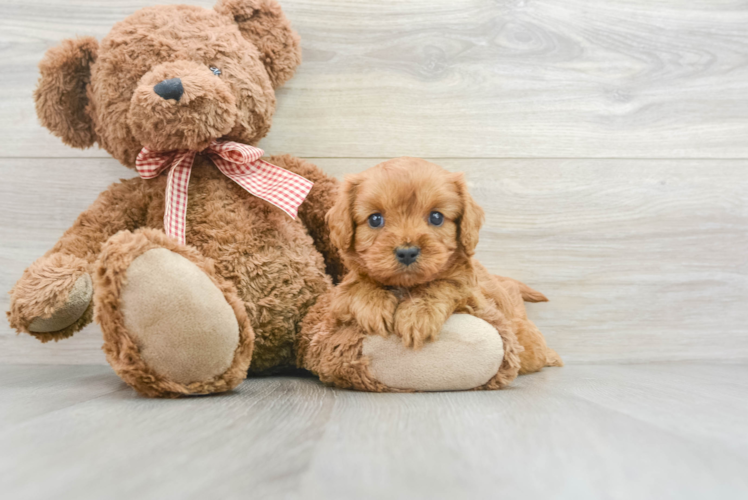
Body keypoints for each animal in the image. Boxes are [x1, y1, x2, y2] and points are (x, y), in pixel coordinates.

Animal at [328, 158, 560, 374]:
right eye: (375, 219)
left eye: (436, 217)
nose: (407, 252)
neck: (406, 286)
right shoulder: (339, 297)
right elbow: (357, 285)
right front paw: (373, 304)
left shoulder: (475, 298)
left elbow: (445, 283)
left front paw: (418, 314)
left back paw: (551, 356)